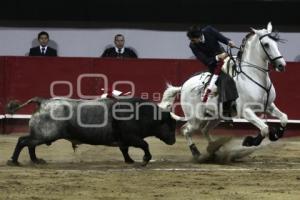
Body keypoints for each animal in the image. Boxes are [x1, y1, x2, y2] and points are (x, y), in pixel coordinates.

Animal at [159, 22, 288, 159]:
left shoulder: (269, 105)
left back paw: (214, 149)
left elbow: (284, 118)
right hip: (195, 117)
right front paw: (249, 141)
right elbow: (264, 128)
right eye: (266, 44)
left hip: (215, 116)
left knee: (204, 130)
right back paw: (196, 152)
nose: (281, 65)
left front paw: (276, 134)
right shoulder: (245, 111)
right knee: (186, 130)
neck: (253, 76)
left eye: (276, 43)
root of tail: (183, 86)